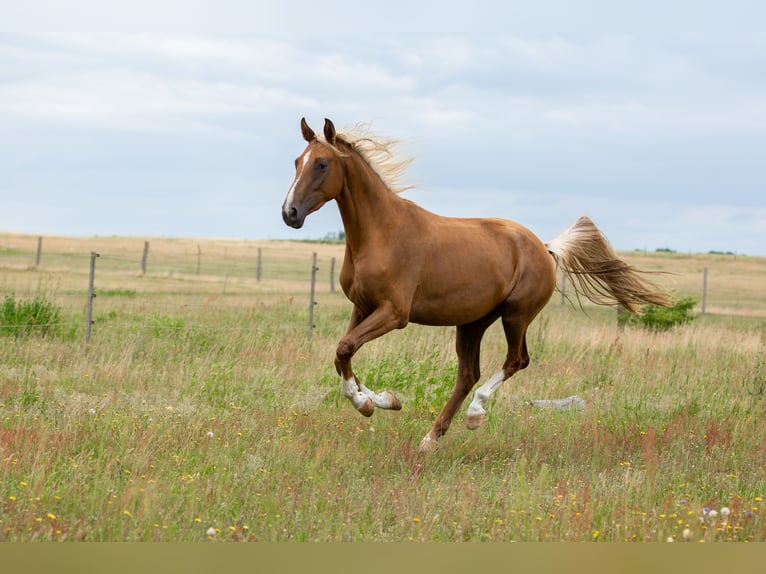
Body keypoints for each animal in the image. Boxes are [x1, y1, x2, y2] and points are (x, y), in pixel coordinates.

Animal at [281, 117, 670, 452]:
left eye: (322, 164)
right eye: (297, 161)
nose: (290, 213)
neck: (381, 232)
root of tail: (544, 247)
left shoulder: (394, 313)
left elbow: (345, 348)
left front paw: (367, 403)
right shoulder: (362, 307)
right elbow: (341, 353)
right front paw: (381, 400)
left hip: (515, 315)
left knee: (516, 361)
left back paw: (474, 414)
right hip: (473, 322)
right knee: (468, 374)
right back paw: (431, 438)